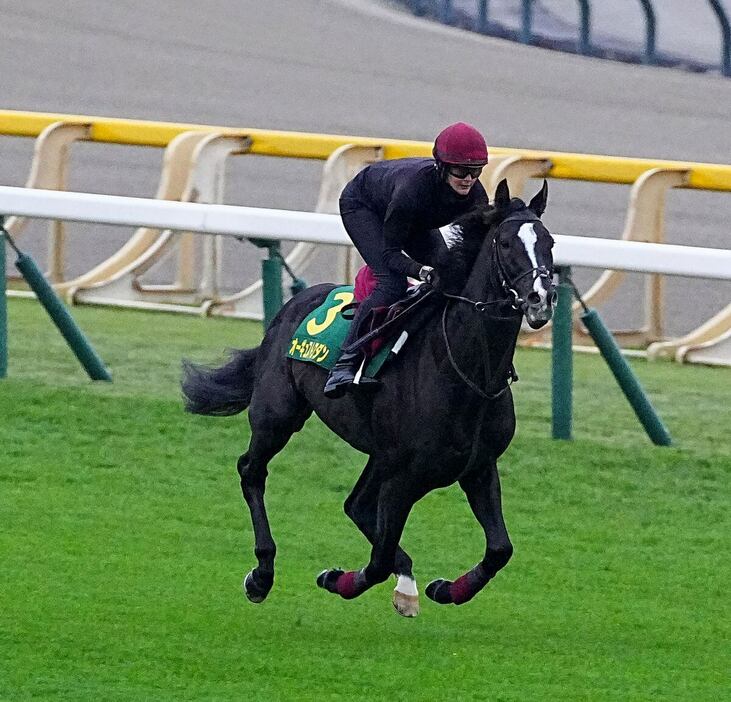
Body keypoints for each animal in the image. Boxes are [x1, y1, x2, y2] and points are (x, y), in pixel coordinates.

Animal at [182, 179, 556, 620]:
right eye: (505, 242)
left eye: (549, 242)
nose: (540, 299)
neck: (466, 370)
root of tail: (291, 307)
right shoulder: (402, 476)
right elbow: (377, 561)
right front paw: (336, 579)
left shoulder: (477, 467)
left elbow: (499, 549)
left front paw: (446, 589)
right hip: (278, 414)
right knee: (252, 471)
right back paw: (262, 574)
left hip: (378, 453)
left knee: (355, 505)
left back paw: (406, 581)